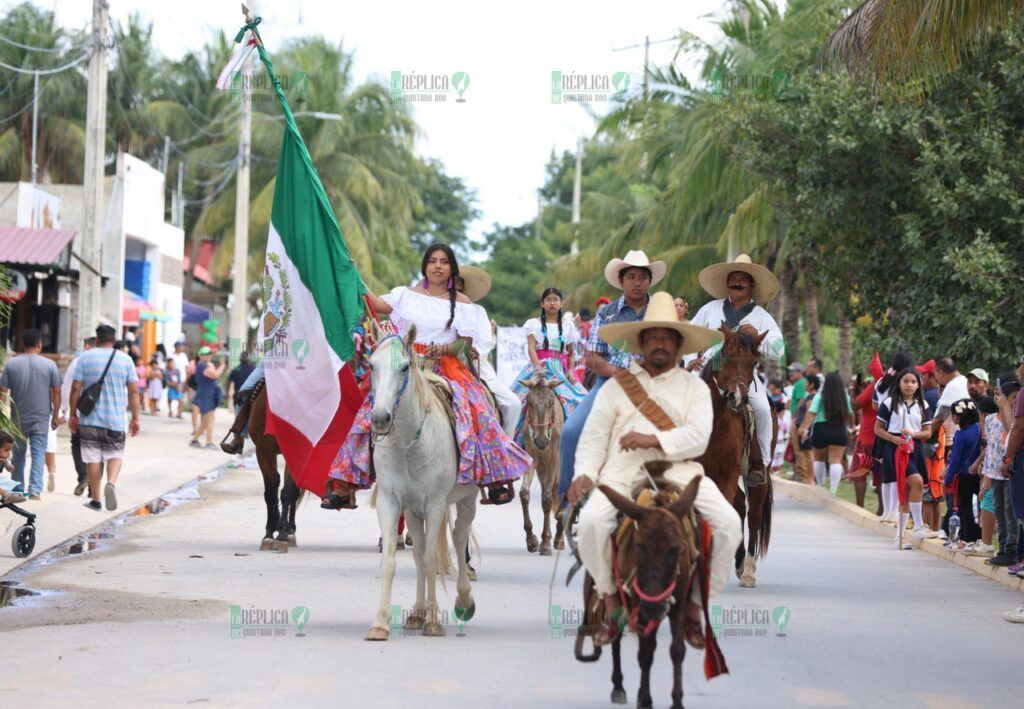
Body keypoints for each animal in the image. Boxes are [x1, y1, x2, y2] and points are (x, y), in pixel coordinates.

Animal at [247, 385, 303, 549]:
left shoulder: (295, 451)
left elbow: (288, 493)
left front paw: (283, 535)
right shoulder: (263, 451)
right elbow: (270, 493)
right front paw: (269, 533)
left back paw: (290, 531)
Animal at [364, 325, 479, 643]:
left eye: (404, 367)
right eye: (371, 365)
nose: (380, 418)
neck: (409, 445)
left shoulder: (436, 504)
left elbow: (431, 561)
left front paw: (434, 621)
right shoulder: (391, 503)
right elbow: (392, 561)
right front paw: (380, 624)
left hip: (467, 499)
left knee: (458, 537)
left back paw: (463, 601)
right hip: (414, 511)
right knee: (418, 553)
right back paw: (416, 613)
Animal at [520, 379, 569, 557]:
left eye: (551, 402)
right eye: (529, 401)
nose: (541, 441)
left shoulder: (554, 460)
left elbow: (547, 499)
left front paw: (546, 542)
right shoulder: (532, 457)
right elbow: (524, 494)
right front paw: (532, 541)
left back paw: (559, 538)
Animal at [696, 325, 774, 586]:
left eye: (753, 362)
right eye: (728, 357)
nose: (737, 399)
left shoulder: (727, 475)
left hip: (758, 473)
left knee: (753, 512)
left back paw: (748, 569)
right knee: (740, 504)